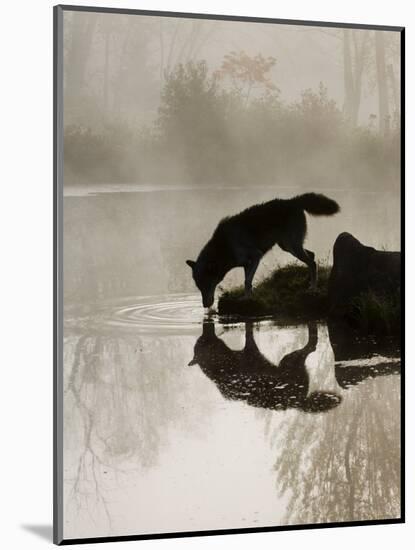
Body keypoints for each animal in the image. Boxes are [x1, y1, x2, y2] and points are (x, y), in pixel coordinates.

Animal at [187, 193, 340, 306]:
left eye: (206, 285)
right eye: (199, 287)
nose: (205, 306)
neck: (223, 247)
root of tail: (292, 201)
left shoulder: (256, 256)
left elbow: (247, 282)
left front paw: (246, 299)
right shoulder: (246, 264)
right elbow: (247, 282)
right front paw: (249, 297)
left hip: (292, 246)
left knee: (312, 262)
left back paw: (313, 288)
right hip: (287, 246)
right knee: (312, 256)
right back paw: (309, 283)